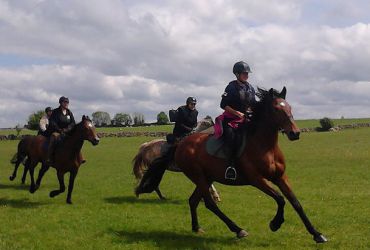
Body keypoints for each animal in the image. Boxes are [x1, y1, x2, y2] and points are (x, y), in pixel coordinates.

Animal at [173, 87, 326, 243]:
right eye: (276, 109)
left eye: (289, 107)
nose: (295, 133)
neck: (266, 147)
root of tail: (182, 143)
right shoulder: (257, 179)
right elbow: (280, 199)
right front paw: (275, 224)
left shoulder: (280, 177)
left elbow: (296, 203)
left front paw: (316, 234)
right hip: (199, 177)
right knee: (210, 204)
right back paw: (238, 230)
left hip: (207, 177)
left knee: (193, 200)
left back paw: (196, 227)